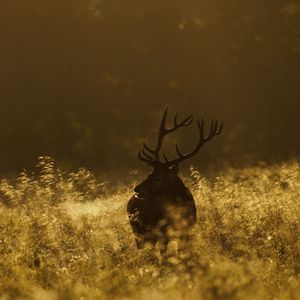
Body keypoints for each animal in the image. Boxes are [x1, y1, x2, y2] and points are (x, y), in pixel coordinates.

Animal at [126, 108, 223, 260]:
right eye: (149, 174)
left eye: (158, 178)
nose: (137, 189)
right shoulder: (162, 232)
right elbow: (165, 255)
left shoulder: (187, 230)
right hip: (139, 231)